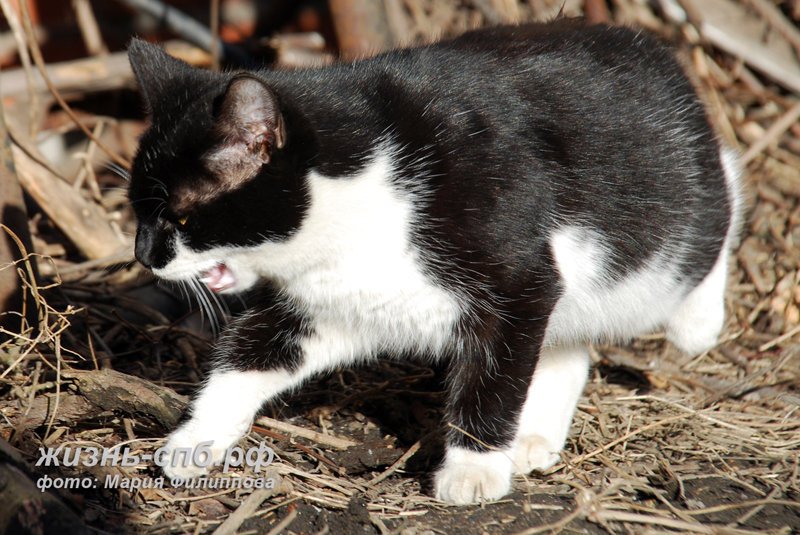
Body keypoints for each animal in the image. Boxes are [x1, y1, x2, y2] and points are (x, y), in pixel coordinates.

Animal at [126, 21, 744, 504]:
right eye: (138, 212)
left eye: (181, 218)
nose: (144, 255)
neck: (367, 193)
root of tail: (653, 49)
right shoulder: (323, 304)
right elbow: (248, 356)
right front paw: (195, 440)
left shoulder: (515, 276)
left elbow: (493, 374)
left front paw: (472, 469)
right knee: (567, 344)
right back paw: (535, 436)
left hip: (668, 228)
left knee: (724, 197)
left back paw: (698, 321)